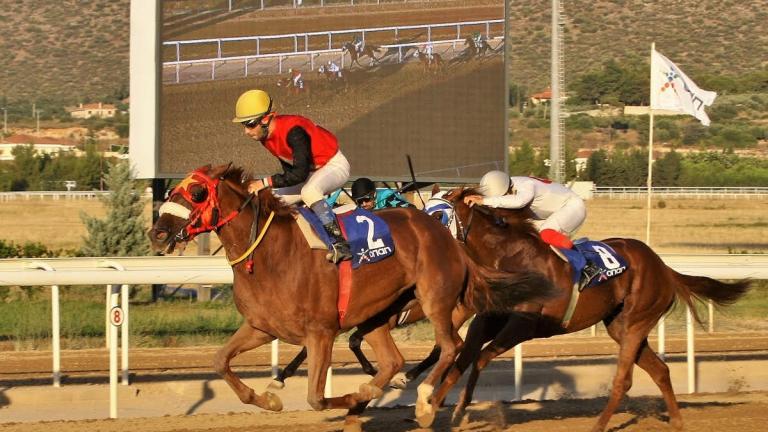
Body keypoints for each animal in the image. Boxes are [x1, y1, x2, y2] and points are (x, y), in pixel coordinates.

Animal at [148, 166, 560, 432]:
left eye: (197, 193)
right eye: (171, 192)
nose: (157, 233)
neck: (269, 255)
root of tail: (445, 235)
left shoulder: (321, 331)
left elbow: (316, 397)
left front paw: (351, 398)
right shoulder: (261, 327)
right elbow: (220, 362)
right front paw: (270, 397)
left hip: (436, 299)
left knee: (450, 347)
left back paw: (423, 401)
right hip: (380, 312)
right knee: (394, 360)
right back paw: (379, 391)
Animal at [420, 187, 752, 430]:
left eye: (438, 215)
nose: (424, 241)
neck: (509, 259)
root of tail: (664, 268)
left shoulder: (524, 326)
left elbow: (480, 359)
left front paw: (447, 409)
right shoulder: (489, 319)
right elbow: (464, 358)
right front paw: (434, 408)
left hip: (635, 322)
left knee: (624, 380)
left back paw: (599, 425)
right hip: (620, 325)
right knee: (660, 370)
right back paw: (678, 421)